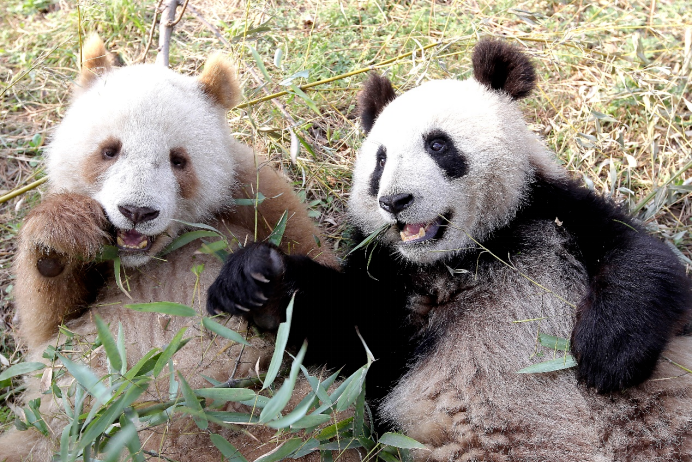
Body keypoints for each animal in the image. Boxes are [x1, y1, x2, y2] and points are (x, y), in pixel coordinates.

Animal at [0, 34, 348, 460]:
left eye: (178, 160)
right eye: (109, 150)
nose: (136, 211)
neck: (147, 256)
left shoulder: (258, 196)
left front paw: (254, 281)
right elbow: (48, 331)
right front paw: (63, 232)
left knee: (315, 419)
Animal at [208, 40, 688, 462]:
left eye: (438, 144)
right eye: (380, 160)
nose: (394, 201)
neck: (465, 255)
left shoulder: (550, 213)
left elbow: (641, 259)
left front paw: (606, 355)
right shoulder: (393, 288)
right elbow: (344, 324)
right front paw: (255, 278)